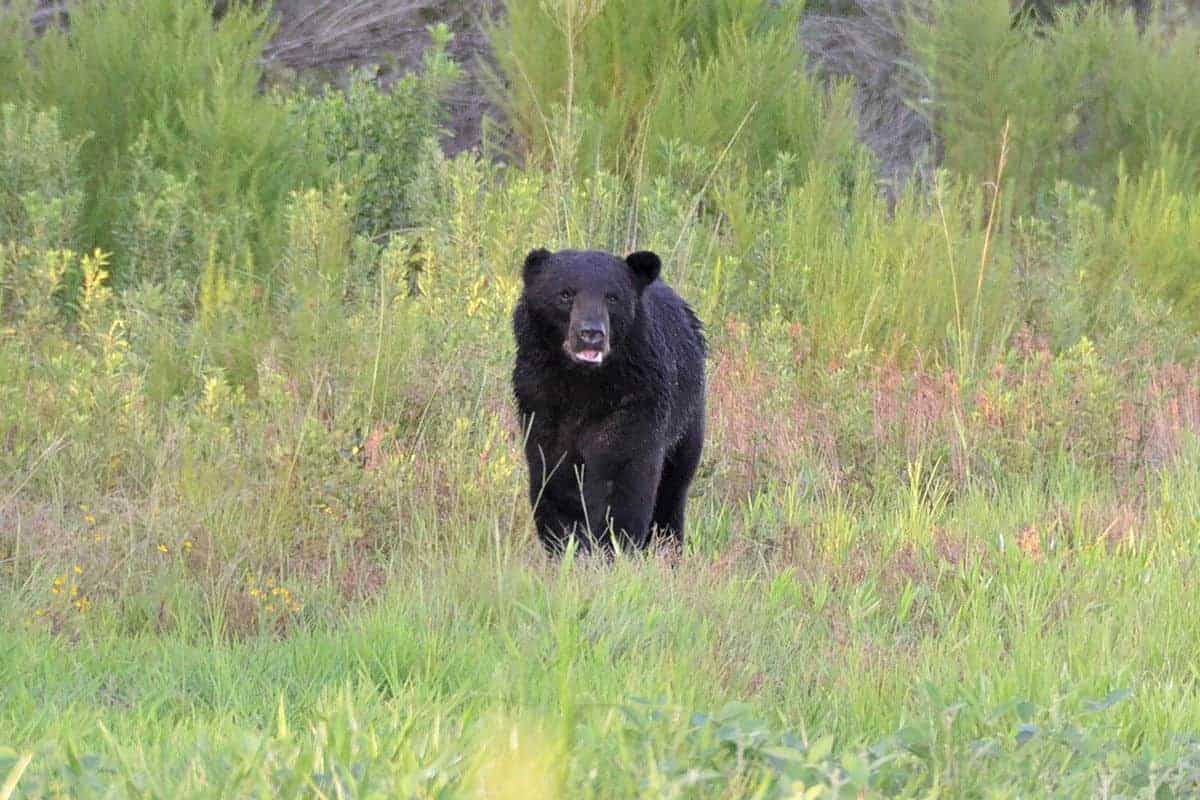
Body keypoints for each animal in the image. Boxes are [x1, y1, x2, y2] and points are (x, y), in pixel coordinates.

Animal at [513, 247, 700, 554]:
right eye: (565, 294)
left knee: (674, 487)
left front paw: (615, 544)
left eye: (612, 297)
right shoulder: (540, 402)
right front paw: (565, 541)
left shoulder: (635, 399)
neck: (584, 385)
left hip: (687, 419)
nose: (591, 334)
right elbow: (553, 473)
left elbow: (620, 471)